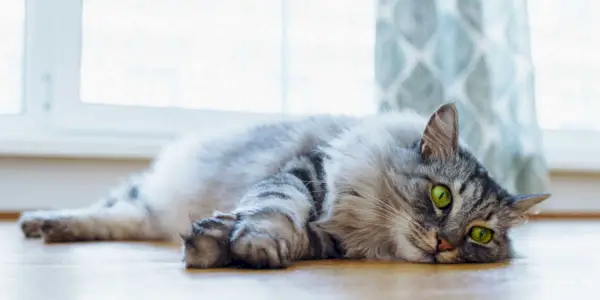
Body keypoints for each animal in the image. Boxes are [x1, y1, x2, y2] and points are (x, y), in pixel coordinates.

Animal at [16, 103, 552, 268]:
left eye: (480, 234)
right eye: (442, 197)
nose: (444, 244)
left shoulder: (328, 242)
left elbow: (293, 237)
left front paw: (220, 243)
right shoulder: (302, 173)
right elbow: (274, 210)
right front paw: (249, 242)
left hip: (144, 216)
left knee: (118, 221)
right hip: (145, 196)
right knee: (105, 208)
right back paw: (39, 221)